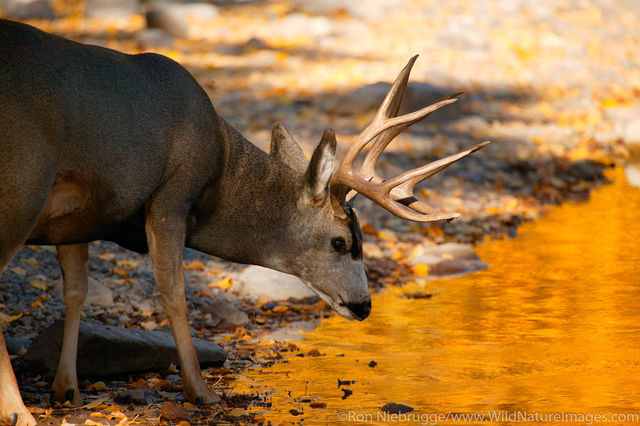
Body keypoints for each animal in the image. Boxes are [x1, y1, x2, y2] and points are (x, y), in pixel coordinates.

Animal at [0, 18, 488, 425]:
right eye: (340, 242)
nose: (364, 305)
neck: (219, 172)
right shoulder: (171, 196)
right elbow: (173, 290)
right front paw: (201, 391)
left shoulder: (79, 219)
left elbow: (76, 291)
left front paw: (67, 389)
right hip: (23, 184)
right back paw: (19, 411)